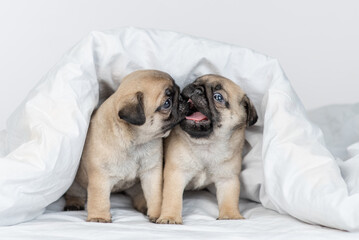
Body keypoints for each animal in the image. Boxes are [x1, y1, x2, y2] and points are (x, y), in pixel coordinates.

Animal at [64, 69, 186, 223]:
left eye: (177, 88)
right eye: (167, 103)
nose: (182, 97)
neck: (136, 143)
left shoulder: (151, 172)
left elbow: (155, 195)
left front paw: (157, 213)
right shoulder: (100, 178)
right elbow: (99, 199)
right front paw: (99, 217)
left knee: (139, 196)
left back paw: (144, 206)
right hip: (76, 183)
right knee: (75, 193)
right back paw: (73, 203)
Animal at [158, 74, 258, 224]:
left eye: (218, 97)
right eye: (195, 82)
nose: (196, 89)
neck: (207, 145)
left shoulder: (227, 179)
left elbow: (230, 199)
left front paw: (231, 216)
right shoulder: (176, 174)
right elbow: (172, 198)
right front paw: (170, 217)